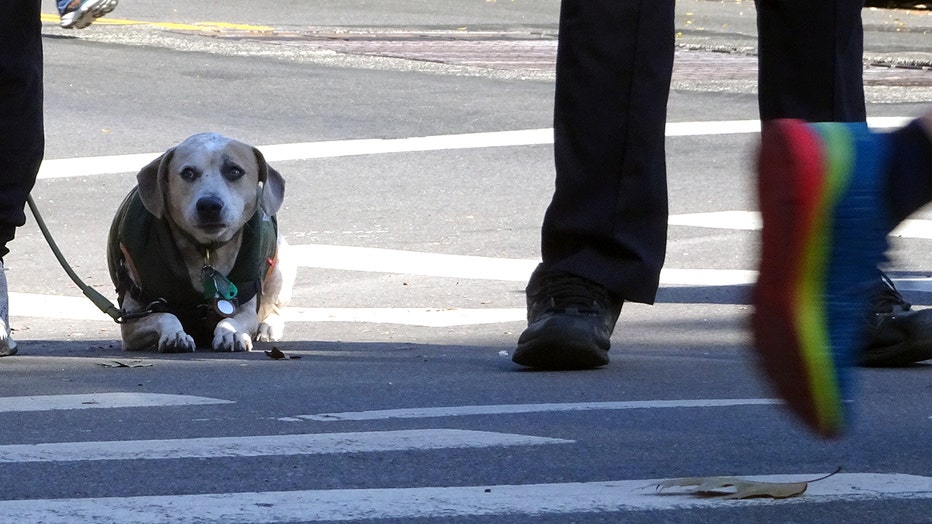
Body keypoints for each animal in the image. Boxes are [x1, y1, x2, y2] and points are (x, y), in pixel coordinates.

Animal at [106, 132, 296, 352]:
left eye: (234, 171)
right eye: (188, 173)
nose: (209, 205)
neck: (207, 252)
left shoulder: (247, 309)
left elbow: (232, 320)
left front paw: (231, 333)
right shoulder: (131, 320)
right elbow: (165, 315)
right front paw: (175, 334)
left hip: (281, 268)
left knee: (273, 308)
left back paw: (267, 327)